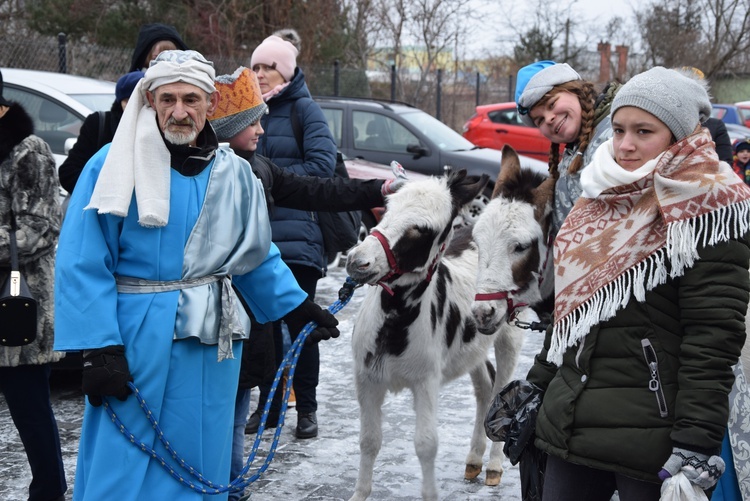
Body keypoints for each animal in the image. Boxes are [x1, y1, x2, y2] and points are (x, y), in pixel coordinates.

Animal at [346, 169, 524, 500]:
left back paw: (493, 467)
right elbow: (369, 440)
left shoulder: (426, 381)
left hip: (509, 336)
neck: (395, 317)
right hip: (471, 345)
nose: (357, 261)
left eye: (421, 229)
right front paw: (360, 494)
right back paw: (473, 461)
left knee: (500, 389)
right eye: (386, 209)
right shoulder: (367, 379)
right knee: (484, 386)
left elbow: (426, 445)